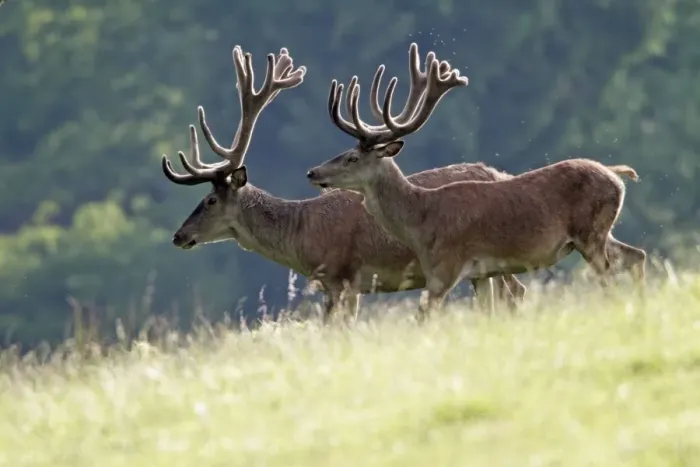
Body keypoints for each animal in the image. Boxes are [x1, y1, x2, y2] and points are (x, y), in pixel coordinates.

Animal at [160, 44, 529, 323]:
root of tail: (502, 174)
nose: (179, 235)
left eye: (210, 200)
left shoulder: (346, 280)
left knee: (515, 291)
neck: (302, 235)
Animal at [305, 42, 647, 318]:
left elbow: (425, 316)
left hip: (590, 232)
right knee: (636, 256)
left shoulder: (445, 268)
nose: (312, 173)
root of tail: (616, 175)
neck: (421, 222)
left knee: (609, 277)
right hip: (599, 233)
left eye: (352, 158)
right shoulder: (481, 273)